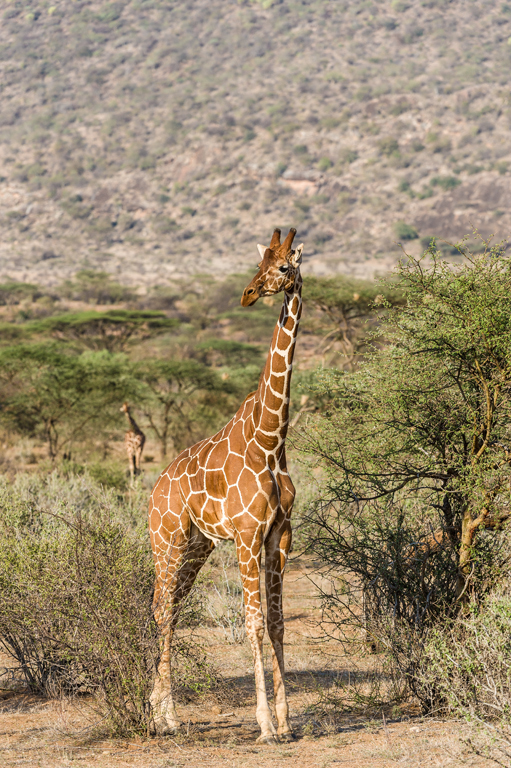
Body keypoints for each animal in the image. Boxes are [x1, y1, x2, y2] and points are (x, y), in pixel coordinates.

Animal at [150, 226, 306, 744]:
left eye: (284, 266)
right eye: (259, 264)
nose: (249, 293)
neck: (271, 438)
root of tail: (154, 489)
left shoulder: (280, 535)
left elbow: (276, 624)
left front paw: (287, 721)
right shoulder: (246, 534)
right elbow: (253, 624)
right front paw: (265, 725)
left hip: (197, 546)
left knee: (170, 608)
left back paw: (155, 708)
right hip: (167, 542)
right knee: (162, 610)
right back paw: (168, 718)